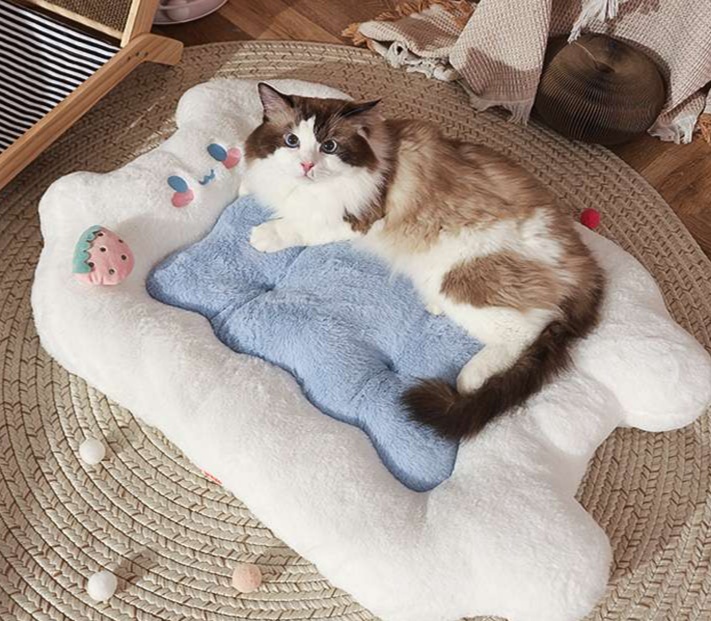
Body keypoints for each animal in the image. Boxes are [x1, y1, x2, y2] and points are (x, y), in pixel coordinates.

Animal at [241, 82, 604, 440]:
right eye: (292, 141)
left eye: (329, 147)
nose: (307, 166)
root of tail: (584, 260)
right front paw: (244, 186)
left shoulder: (355, 220)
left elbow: (299, 226)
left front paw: (265, 235)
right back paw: (435, 307)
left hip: (462, 276)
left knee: (527, 330)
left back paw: (472, 379)